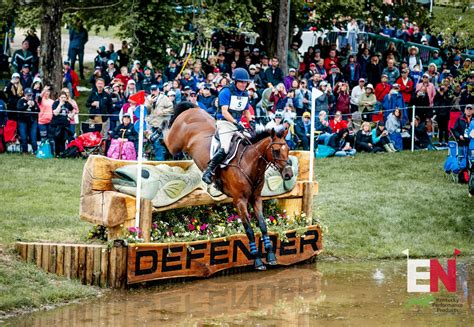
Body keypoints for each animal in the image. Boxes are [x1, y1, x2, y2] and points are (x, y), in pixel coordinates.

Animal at [165, 102, 294, 272]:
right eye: (276, 151)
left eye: (288, 149)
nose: (288, 174)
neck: (249, 163)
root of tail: (191, 110)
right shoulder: (240, 201)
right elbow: (249, 230)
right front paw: (257, 260)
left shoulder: (256, 199)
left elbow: (263, 225)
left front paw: (271, 256)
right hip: (174, 143)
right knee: (166, 138)